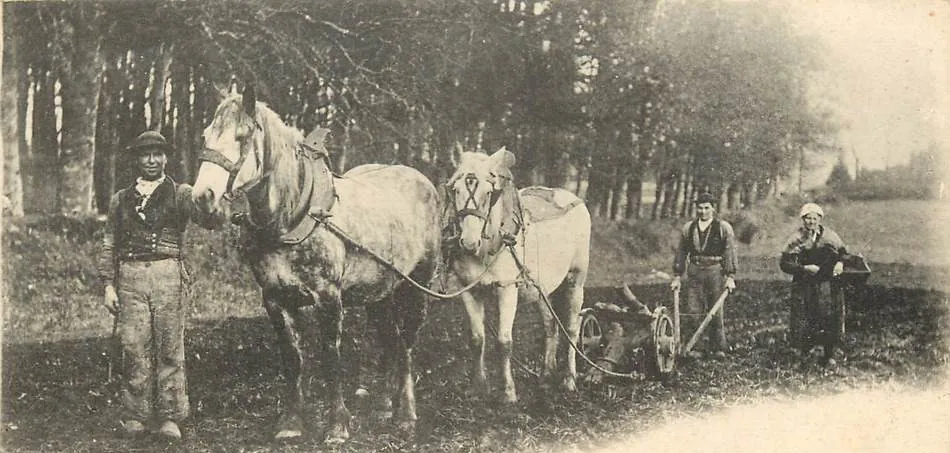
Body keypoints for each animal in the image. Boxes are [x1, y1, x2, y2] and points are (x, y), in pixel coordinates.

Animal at [444, 147, 592, 400]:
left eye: (488, 192)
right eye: (456, 190)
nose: (469, 243)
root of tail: (573, 198)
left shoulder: (507, 289)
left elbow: (504, 343)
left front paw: (508, 392)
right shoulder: (469, 290)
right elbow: (477, 340)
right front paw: (477, 386)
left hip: (576, 280)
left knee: (572, 328)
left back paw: (569, 380)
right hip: (542, 288)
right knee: (550, 326)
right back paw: (545, 377)